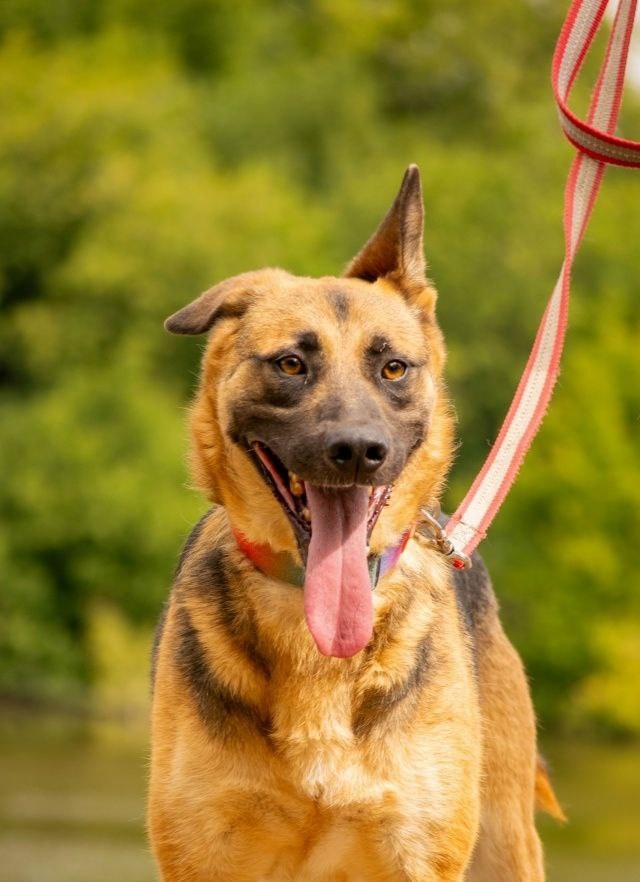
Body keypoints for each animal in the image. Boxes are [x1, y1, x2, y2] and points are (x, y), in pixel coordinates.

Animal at [148, 166, 564, 881]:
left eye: (393, 367)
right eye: (291, 364)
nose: (358, 449)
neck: (316, 645)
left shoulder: (418, 855)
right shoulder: (205, 855)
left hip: (506, 843)